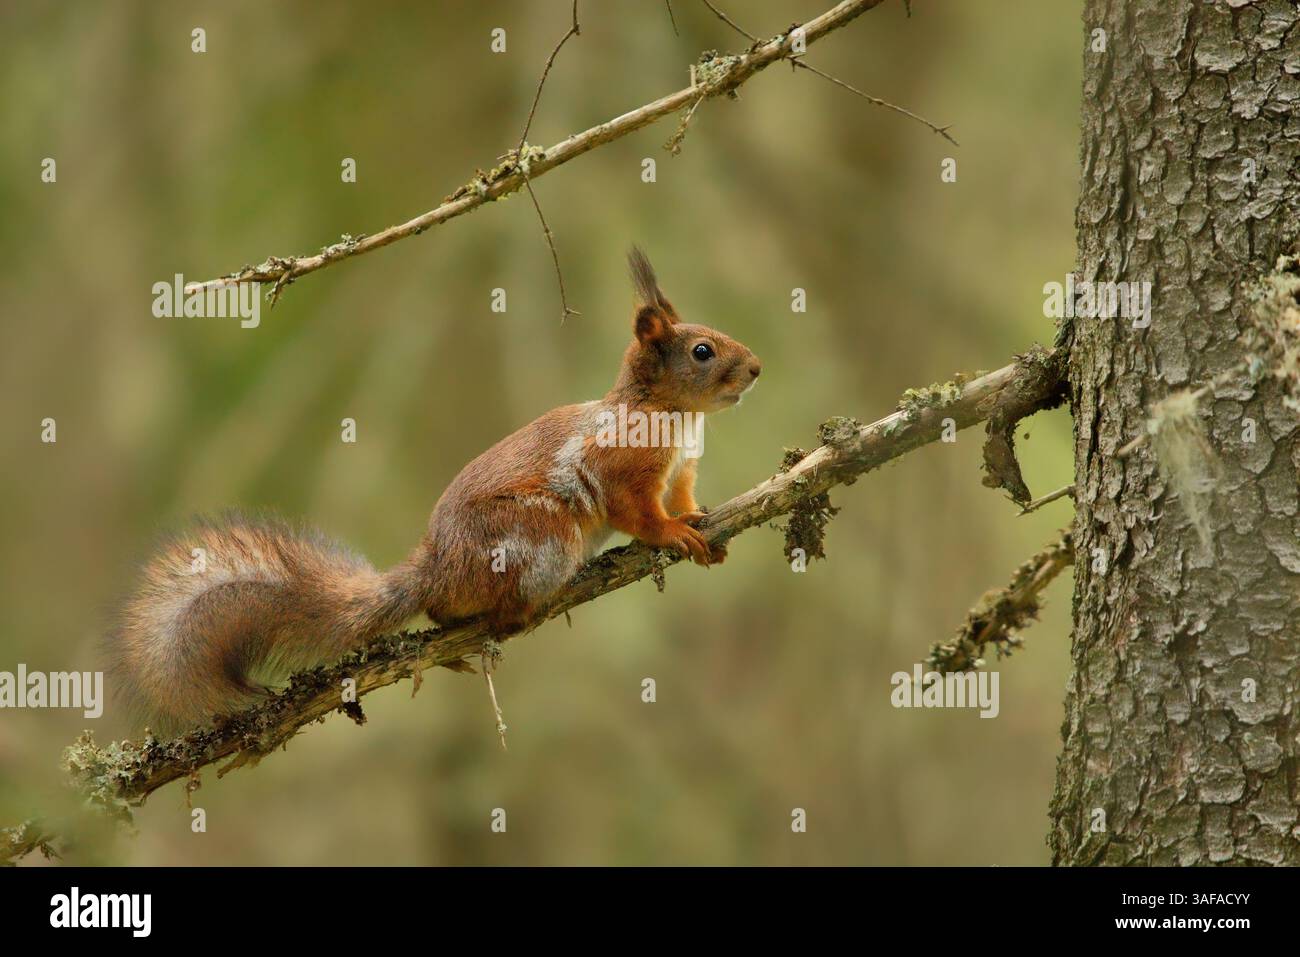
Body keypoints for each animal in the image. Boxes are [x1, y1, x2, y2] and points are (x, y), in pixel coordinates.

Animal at [110, 248, 762, 728]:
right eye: (702, 351)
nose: (756, 369)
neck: (672, 416)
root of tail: (439, 567)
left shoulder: (680, 473)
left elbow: (682, 500)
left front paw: (700, 525)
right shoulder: (624, 470)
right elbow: (639, 514)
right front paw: (674, 535)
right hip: (538, 536)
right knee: (483, 606)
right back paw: (513, 615)